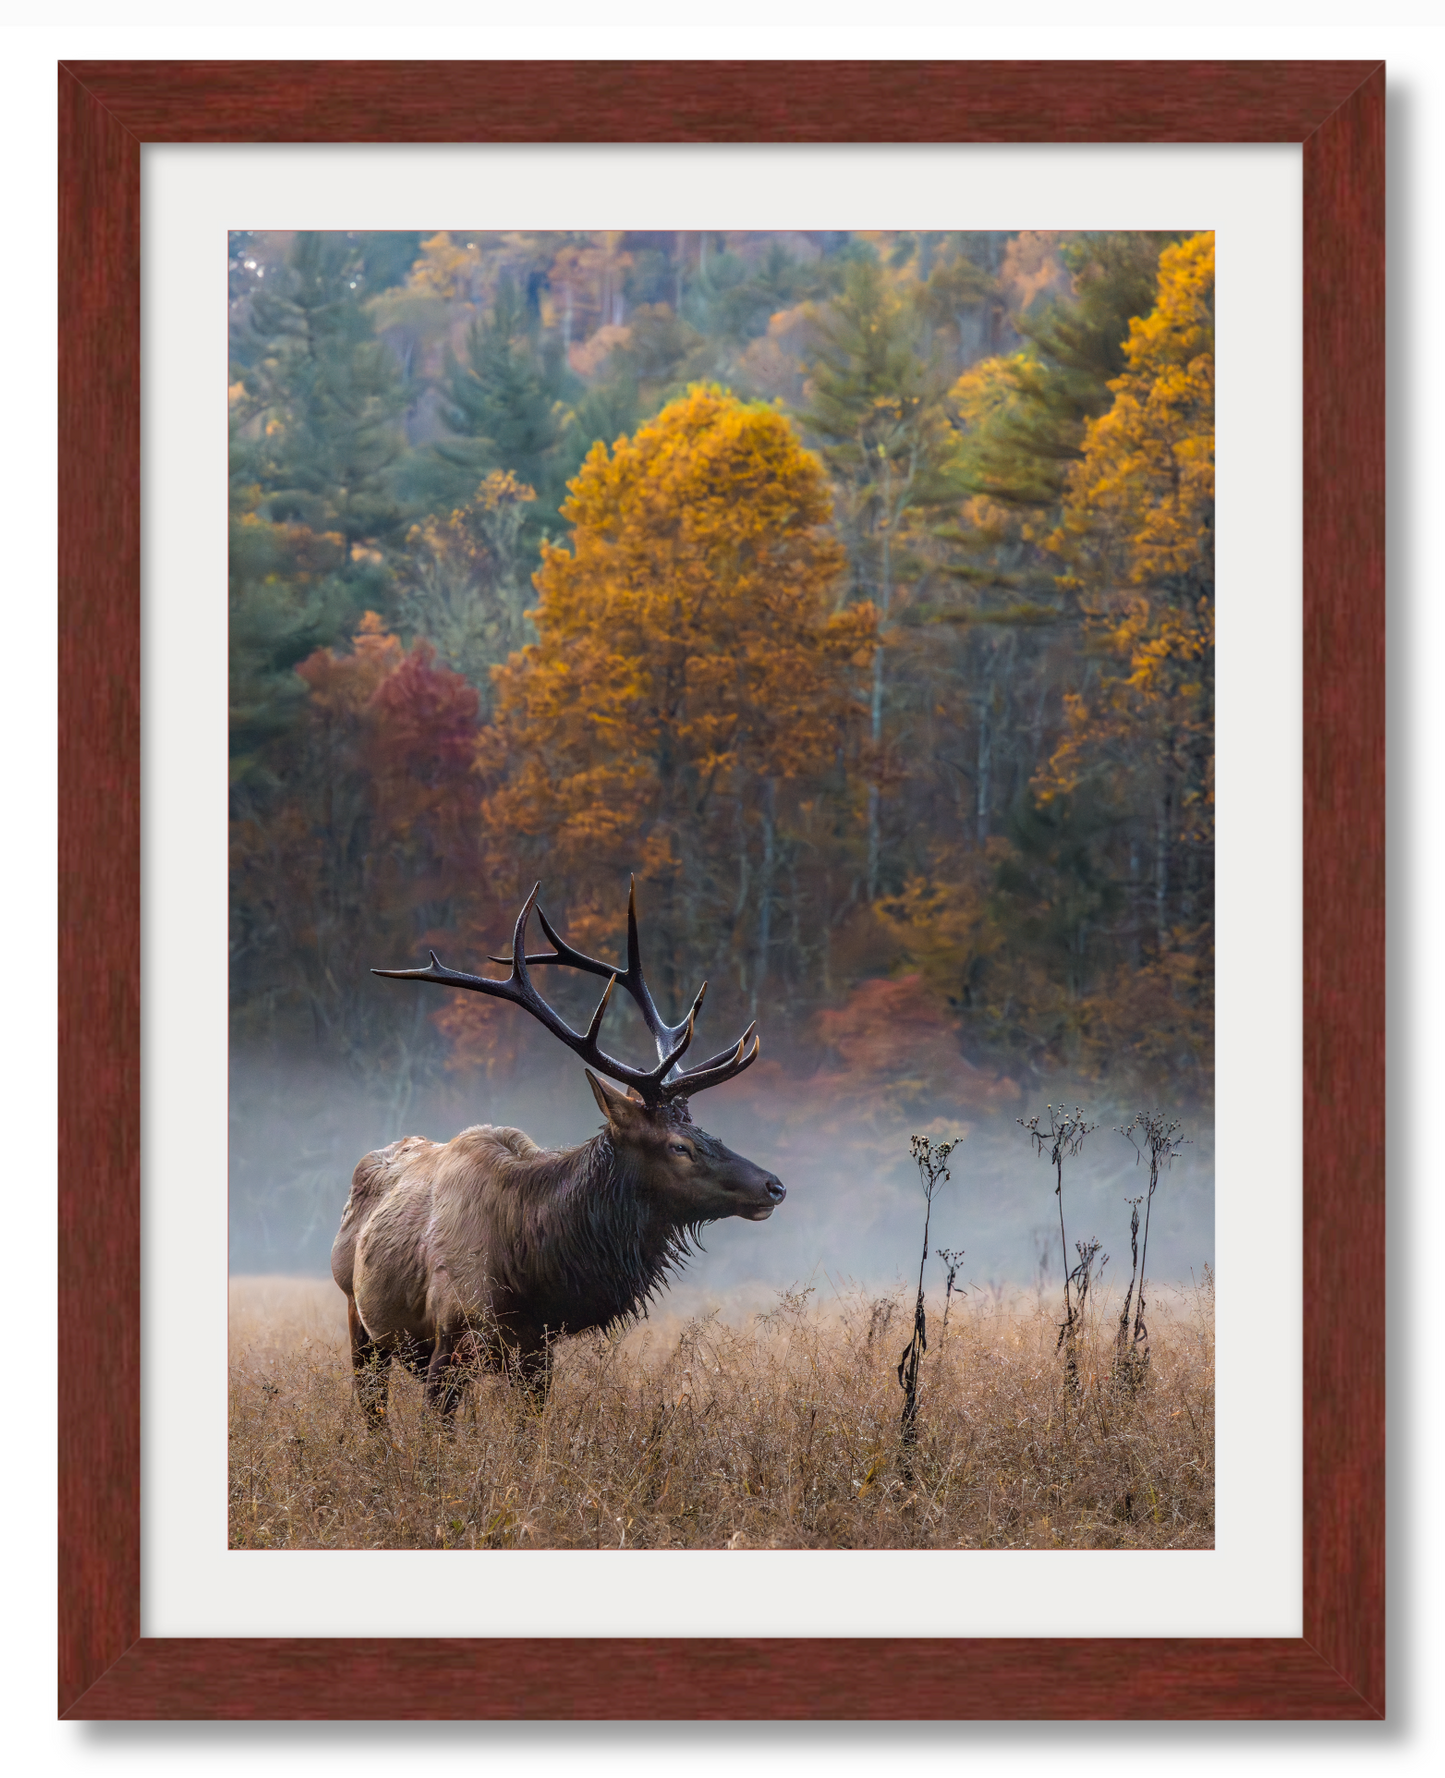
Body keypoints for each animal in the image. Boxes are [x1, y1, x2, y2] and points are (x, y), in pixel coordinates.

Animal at [328, 881, 782, 1422]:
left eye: (706, 1131)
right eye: (680, 1146)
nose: (774, 1186)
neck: (530, 1274)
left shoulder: (536, 1353)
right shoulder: (451, 1339)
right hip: (361, 1322)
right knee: (372, 1413)